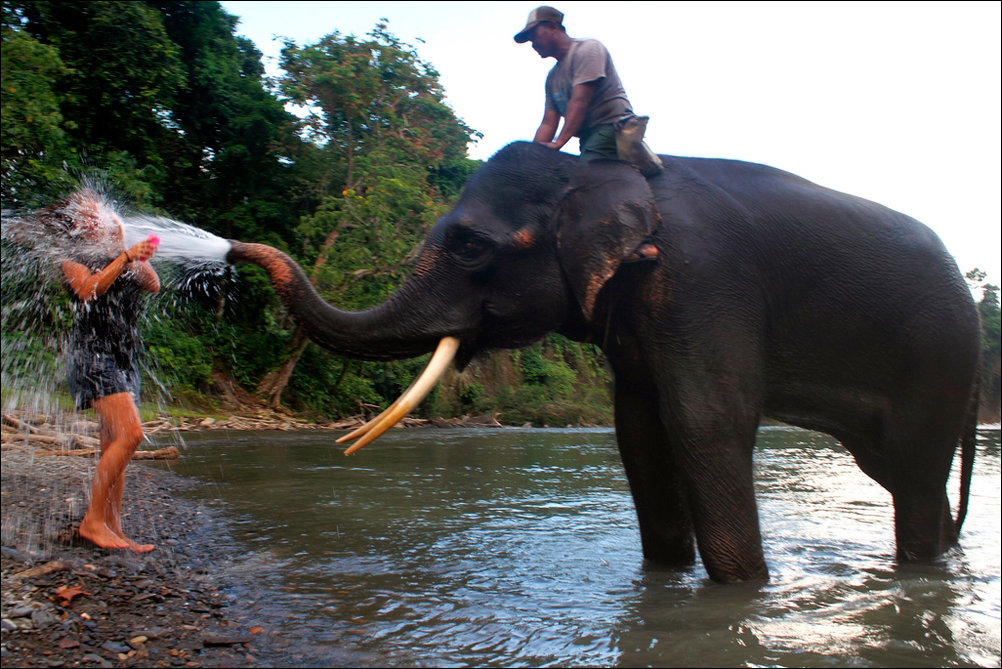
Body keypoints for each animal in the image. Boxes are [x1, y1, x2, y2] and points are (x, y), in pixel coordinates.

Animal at [225, 142, 977, 584]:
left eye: (469, 245)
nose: (229, 247)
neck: (596, 174)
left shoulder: (703, 278)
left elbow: (706, 421)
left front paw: (741, 593)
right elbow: (638, 430)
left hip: (935, 358)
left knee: (913, 474)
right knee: (904, 473)